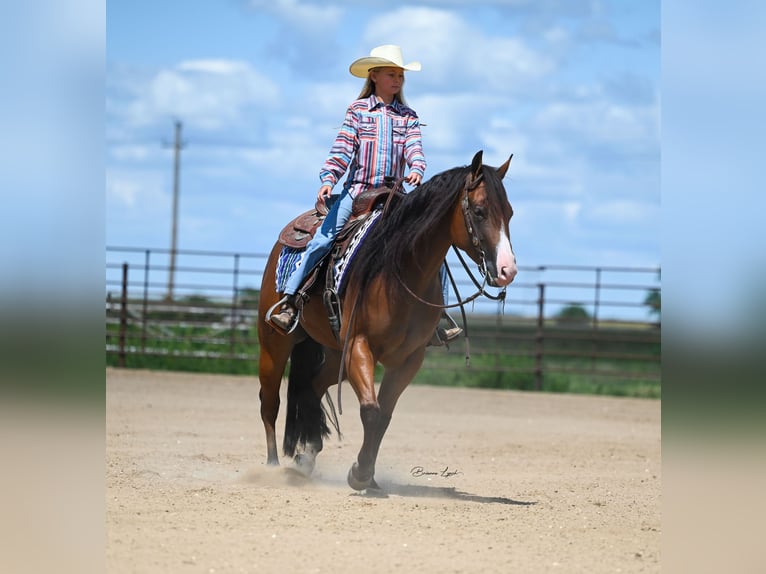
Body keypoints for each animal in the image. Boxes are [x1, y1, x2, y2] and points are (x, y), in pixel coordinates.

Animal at [260, 151, 520, 492]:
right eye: (479, 211)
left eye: (510, 213)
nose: (507, 269)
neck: (399, 269)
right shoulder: (359, 346)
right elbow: (371, 411)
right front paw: (359, 474)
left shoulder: (409, 359)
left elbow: (383, 416)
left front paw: (368, 474)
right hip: (274, 343)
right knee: (269, 402)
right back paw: (272, 466)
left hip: (333, 354)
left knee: (312, 388)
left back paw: (306, 458)